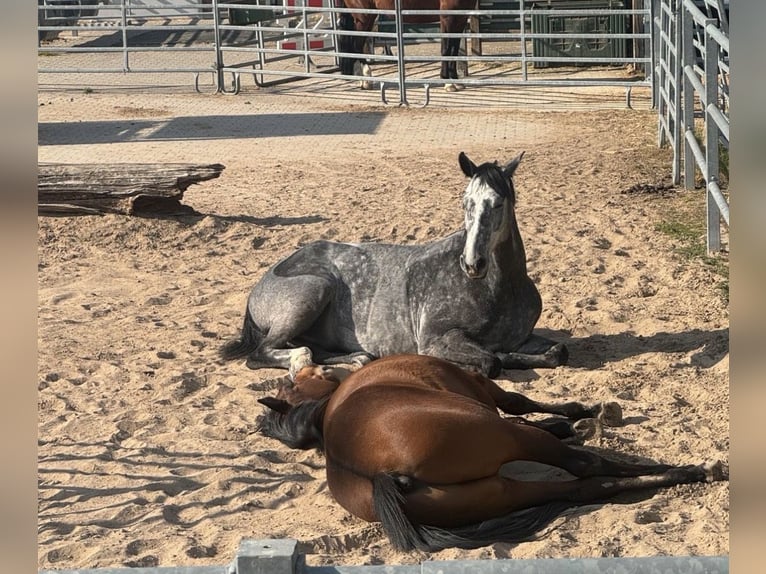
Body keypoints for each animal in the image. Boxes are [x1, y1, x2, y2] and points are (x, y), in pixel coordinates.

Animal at [221, 151, 567, 378]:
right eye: (464, 202)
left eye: (497, 203)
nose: (473, 263)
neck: (498, 291)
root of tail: (262, 283)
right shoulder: (437, 340)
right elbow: (491, 362)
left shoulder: (524, 337)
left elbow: (557, 352)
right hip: (312, 291)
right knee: (263, 354)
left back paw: (356, 358)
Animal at [257, 353, 727, 552]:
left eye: (291, 382)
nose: (310, 363)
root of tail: (378, 475)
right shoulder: (485, 387)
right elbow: (521, 401)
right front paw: (585, 413)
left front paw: (572, 421)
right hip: (504, 437)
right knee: (585, 465)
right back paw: (693, 469)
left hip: (500, 492)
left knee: (586, 488)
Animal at [336, 0, 474, 91]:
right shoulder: (447, 17)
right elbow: (446, 50)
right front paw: (448, 83)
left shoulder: (460, 18)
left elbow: (454, 51)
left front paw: (456, 81)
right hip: (364, 15)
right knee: (356, 45)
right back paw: (366, 79)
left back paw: (363, 80)